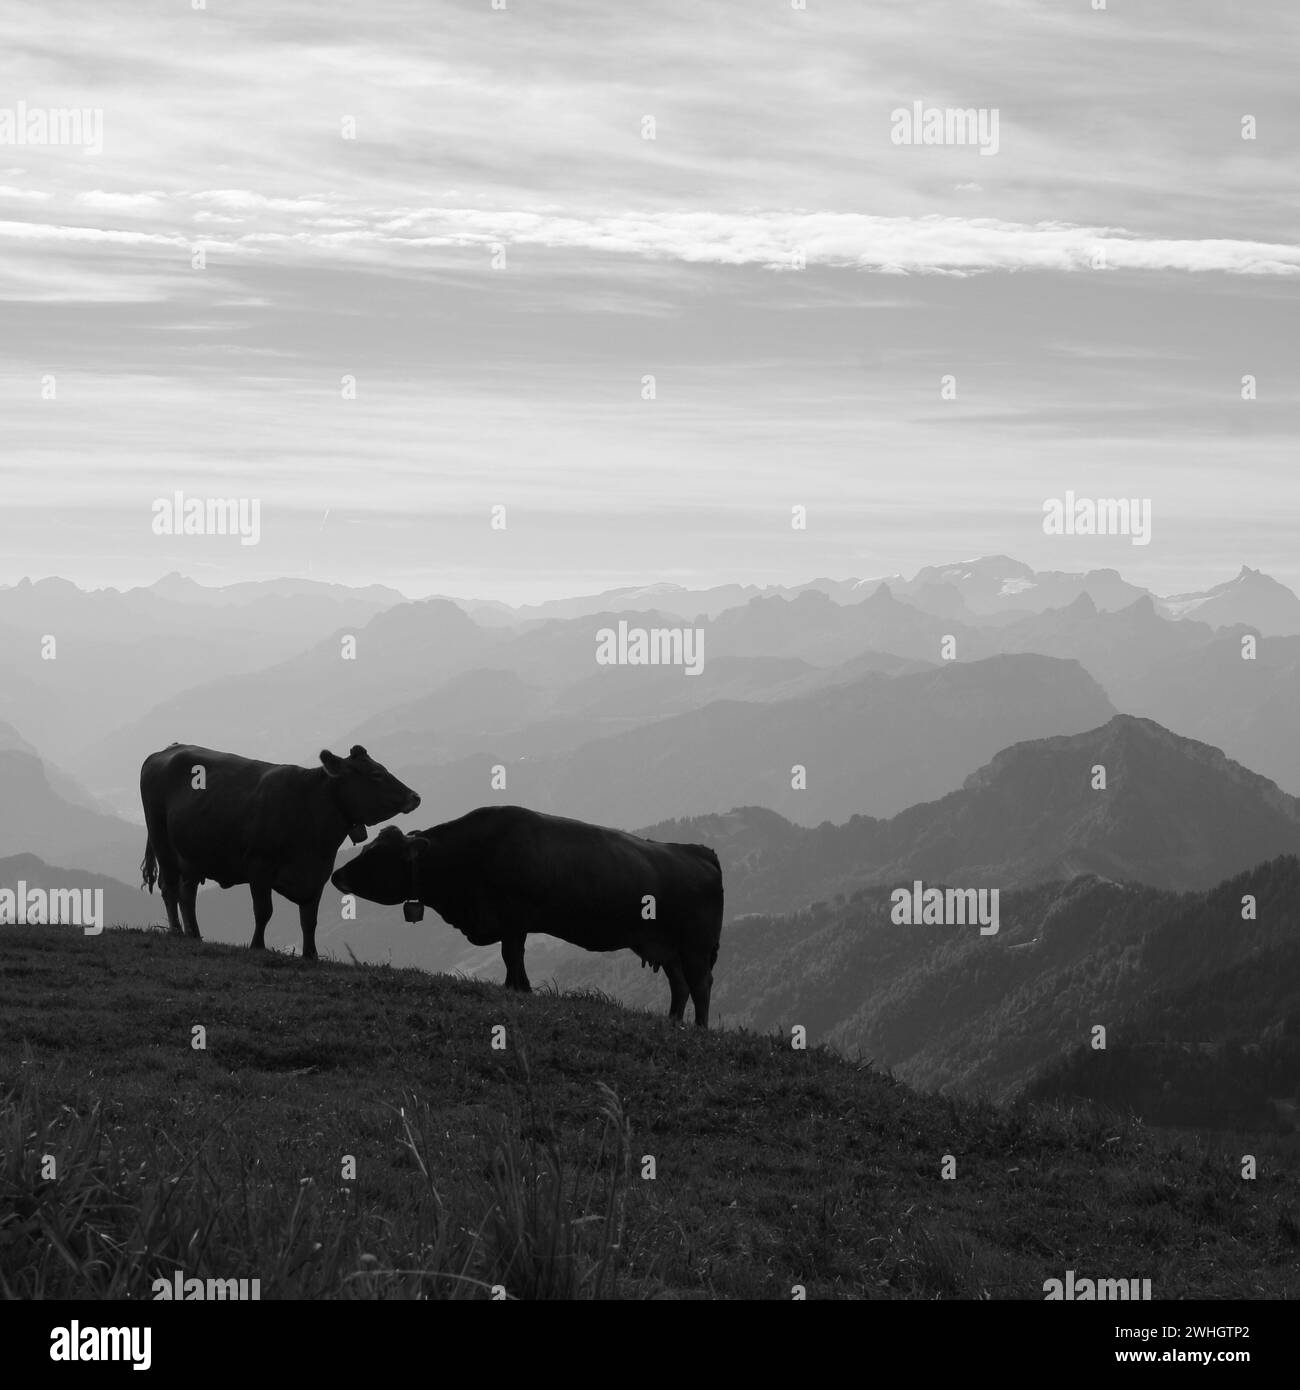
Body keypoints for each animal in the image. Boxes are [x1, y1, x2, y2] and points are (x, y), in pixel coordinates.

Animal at [140, 743, 420, 960]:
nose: (415, 796)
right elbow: (264, 910)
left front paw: (311, 954)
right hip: (162, 843)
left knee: (187, 894)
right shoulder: (259, 864)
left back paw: (194, 934)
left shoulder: (319, 872)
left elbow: (309, 918)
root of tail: (166, 750)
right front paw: (257, 946)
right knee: (170, 889)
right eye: (376, 774)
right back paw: (177, 932)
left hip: (192, 857)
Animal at [330, 806, 723, 1026]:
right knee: (680, 986)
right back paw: (673, 1022)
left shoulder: (514, 918)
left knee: (700, 985)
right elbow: (510, 955)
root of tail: (699, 851)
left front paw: (520, 987)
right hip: (668, 948)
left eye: (377, 854)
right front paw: (514, 986)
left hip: (696, 947)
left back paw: (700, 1029)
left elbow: (511, 954)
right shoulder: (507, 923)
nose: (336, 875)